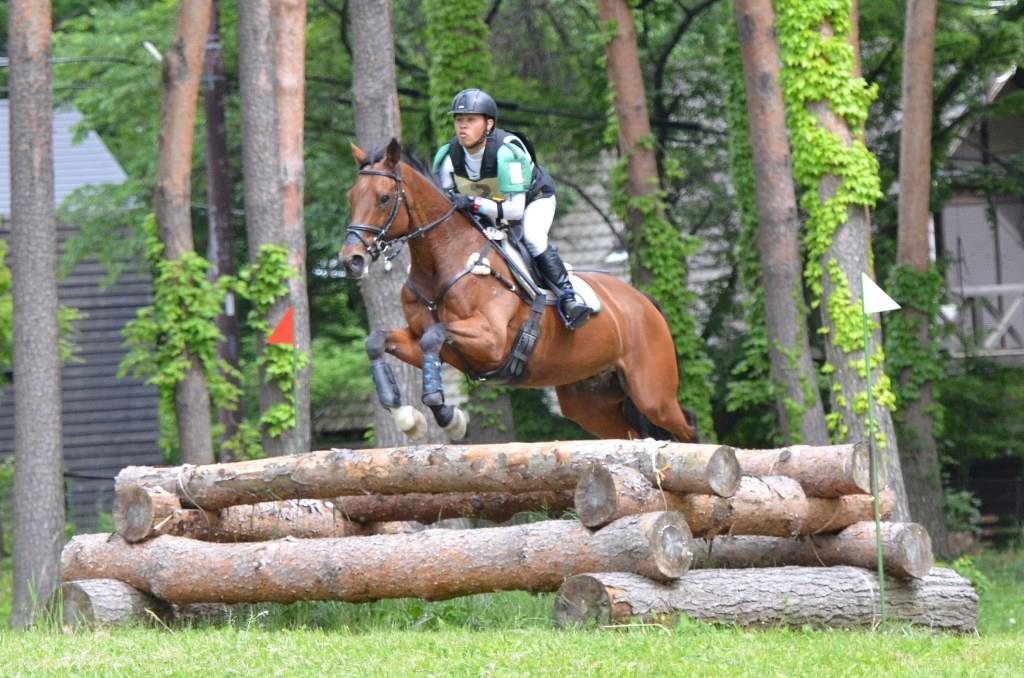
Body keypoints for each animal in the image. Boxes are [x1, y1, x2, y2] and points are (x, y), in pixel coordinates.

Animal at [340, 138, 697, 443]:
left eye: (384, 198)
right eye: (351, 197)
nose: (351, 260)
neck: (443, 260)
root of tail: (644, 302)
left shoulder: (491, 340)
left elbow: (434, 335)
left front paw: (451, 420)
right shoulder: (430, 343)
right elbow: (378, 342)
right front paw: (408, 419)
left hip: (653, 395)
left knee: (687, 427)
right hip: (591, 403)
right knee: (633, 435)